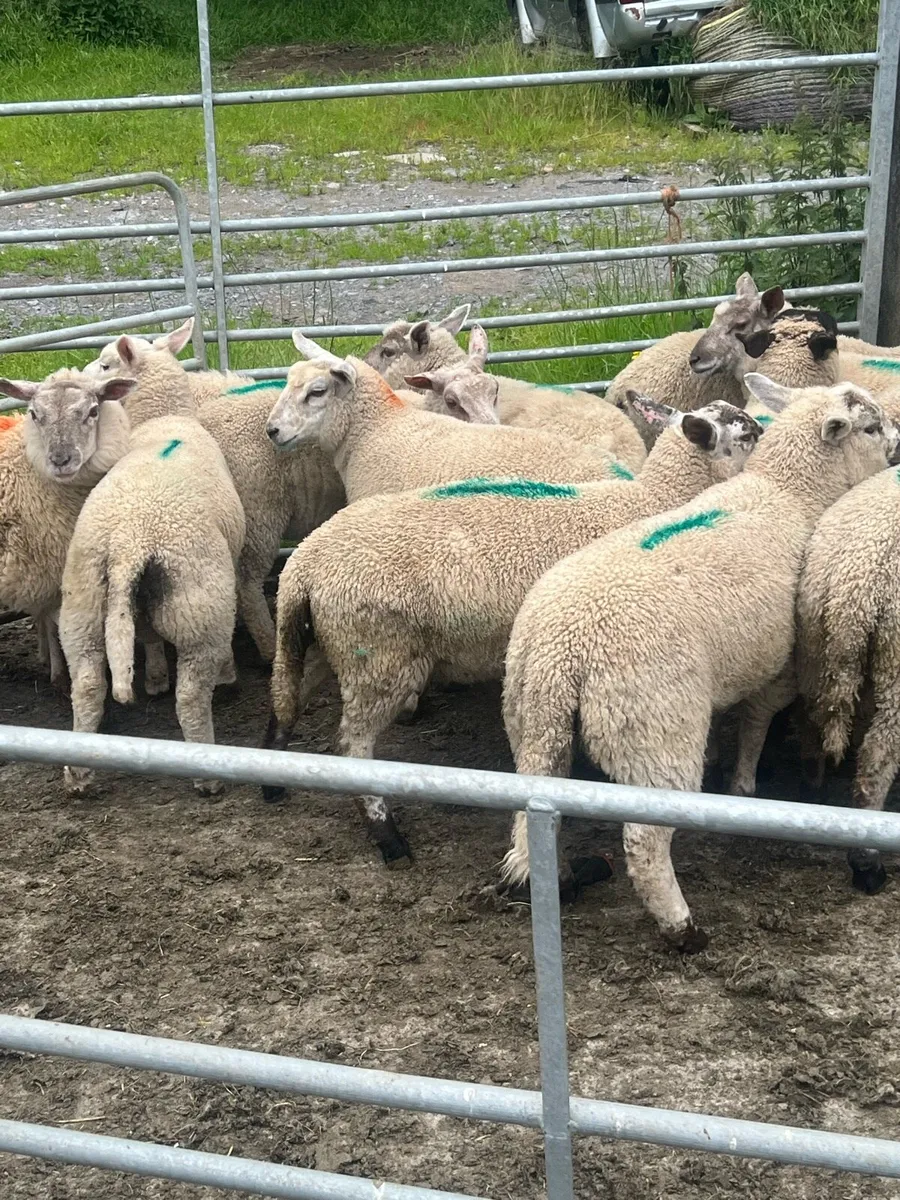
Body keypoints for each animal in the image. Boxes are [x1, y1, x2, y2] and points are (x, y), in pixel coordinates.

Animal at [0, 371, 134, 686]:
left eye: (93, 411)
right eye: (34, 414)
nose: (60, 461)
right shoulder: (47, 570)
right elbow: (54, 623)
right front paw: (60, 674)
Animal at [59, 320, 245, 797]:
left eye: (106, 364)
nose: (81, 375)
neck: (161, 421)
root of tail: (130, 540)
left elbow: (145, 636)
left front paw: (156, 677)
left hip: (83, 605)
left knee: (87, 685)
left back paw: (78, 773)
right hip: (198, 606)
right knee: (192, 696)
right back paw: (208, 773)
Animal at [260, 394, 762, 866]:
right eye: (745, 435)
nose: (763, 432)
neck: (653, 500)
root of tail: (303, 563)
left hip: (329, 640)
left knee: (287, 695)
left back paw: (272, 778)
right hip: (378, 655)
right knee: (353, 745)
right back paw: (387, 836)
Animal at [500, 376, 896, 953]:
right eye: (869, 427)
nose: (899, 445)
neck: (788, 492)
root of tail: (562, 647)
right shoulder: (779, 664)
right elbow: (757, 722)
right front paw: (745, 785)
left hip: (531, 719)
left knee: (537, 808)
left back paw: (566, 881)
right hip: (655, 727)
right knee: (644, 842)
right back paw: (682, 928)